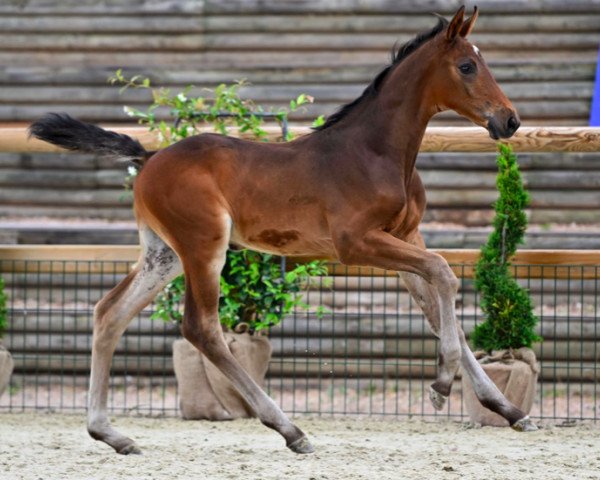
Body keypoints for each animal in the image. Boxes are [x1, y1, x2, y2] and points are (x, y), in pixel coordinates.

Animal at [29, 7, 536, 456]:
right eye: (467, 65)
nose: (509, 120)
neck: (375, 152)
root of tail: (150, 157)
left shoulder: (407, 236)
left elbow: (438, 304)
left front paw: (508, 409)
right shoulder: (357, 243)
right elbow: (445, 274)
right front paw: (441, 385)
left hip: (164, 255)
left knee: (110, 312)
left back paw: (111, 434)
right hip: (204, 246)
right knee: (201, 327)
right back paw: (290, 429)